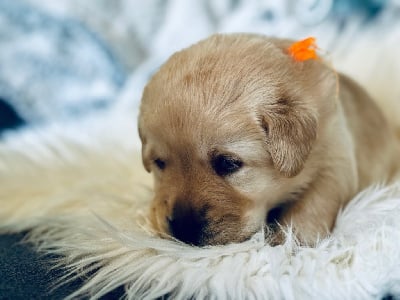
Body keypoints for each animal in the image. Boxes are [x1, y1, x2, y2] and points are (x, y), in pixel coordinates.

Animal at [138, 34, 400, 247]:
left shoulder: (335, 158)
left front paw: (291, 239)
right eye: (160, 163)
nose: (182, 229)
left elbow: (315, 200)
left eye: (227, 163)